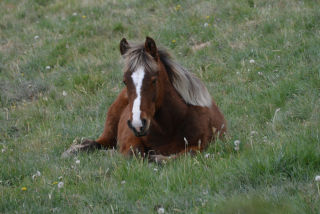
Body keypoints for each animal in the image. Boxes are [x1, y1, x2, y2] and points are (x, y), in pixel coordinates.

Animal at [62, 36, 226, 161]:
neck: (170, 127)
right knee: (98, 143)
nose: (138, 124)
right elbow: (134, 153)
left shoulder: (201, 145)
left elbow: (181, 155)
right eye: (125, 81)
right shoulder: (131, 139)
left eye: (154, 80)